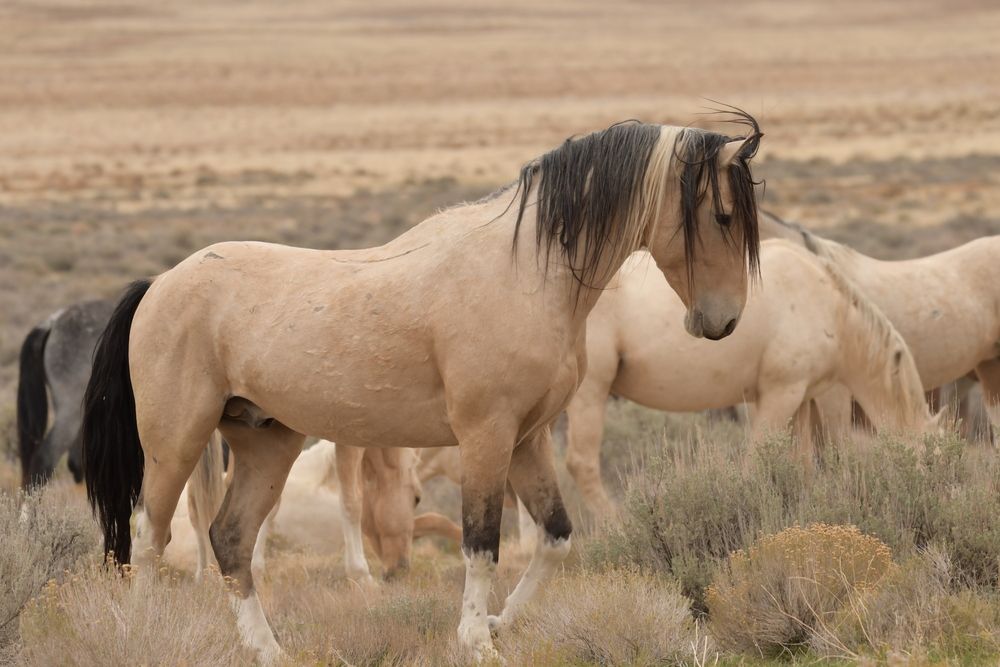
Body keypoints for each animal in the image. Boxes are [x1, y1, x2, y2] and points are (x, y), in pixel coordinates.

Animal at [82, 113, 764, 660]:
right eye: (722, 214)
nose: (724, 321)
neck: (524, 272)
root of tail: (160, 283)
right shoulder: (486, 437)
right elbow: (482, 543)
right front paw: (476, 641)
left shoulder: (528, 439)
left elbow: (554, 538)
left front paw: (499, 623)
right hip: (175, 443)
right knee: (150, 539)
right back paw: (147, 636)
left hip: (266, 444)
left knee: (230, 539)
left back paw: (269, 650)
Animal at [564, 240, 935, 517]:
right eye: (928, 455)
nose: (932, 493)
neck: (827, 305)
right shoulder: (779, 394)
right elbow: (755, 462)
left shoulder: (799, 399)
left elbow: (801, 465)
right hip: (589, 394)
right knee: (581, 466)